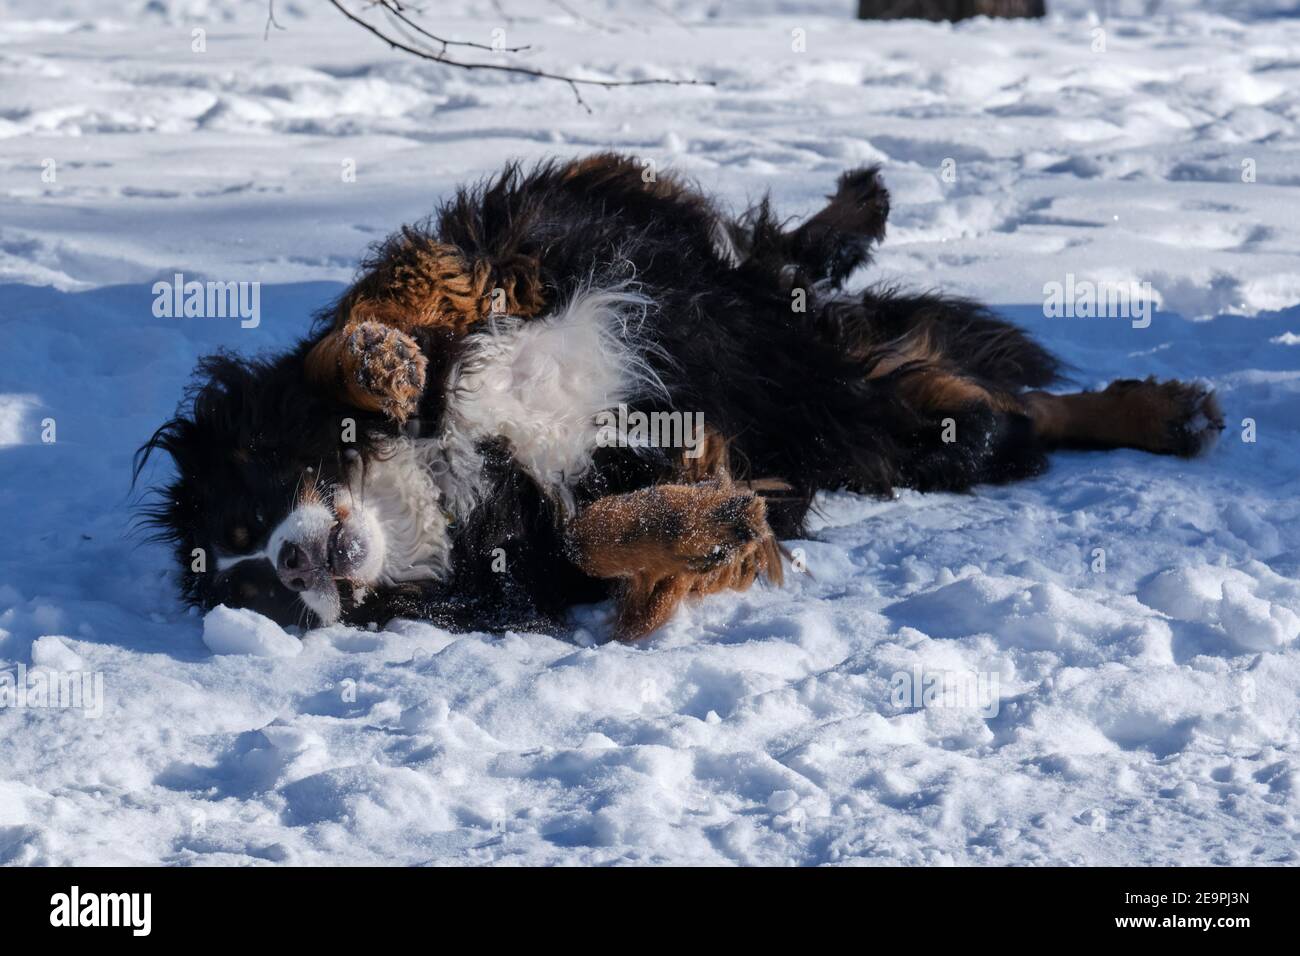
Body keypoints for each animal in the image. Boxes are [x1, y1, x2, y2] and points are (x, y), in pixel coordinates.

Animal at [137, 153, 1222, 639]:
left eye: (248, 507)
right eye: (252, 589)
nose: (293, 558)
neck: (440, 477)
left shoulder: (507, 263)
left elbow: (371, 317)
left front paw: (381, 363)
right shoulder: (545, 538)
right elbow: (596, 531)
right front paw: (699, 526)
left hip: (760, 308)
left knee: (784, 253)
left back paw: (860, 201)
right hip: (877, 421)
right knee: (996, 413)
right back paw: (1161, 415)